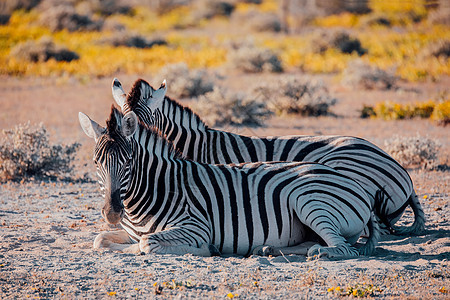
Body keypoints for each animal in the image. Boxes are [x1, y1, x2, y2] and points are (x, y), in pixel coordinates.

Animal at [78, 106, 380, 258]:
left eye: (128, 162)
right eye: (95, 163)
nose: (112, 213)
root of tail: (356, 185)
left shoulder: (195, 226)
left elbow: (146, 244)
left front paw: (206, 249)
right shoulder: (129, 231)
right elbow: (100, 240)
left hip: (309, 200)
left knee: (343, 249)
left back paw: (320, 253)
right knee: (314, 243)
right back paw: (268, 249)